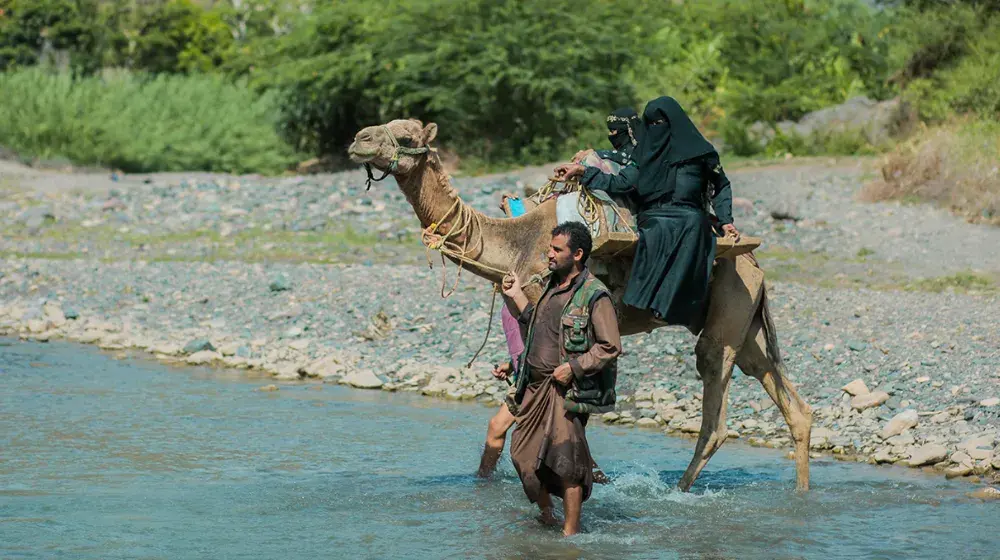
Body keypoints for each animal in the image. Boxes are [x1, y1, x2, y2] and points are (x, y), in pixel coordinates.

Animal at [346, 117, 812, 490]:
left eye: (406, 134)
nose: (358, 139)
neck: (514, 244)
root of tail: (754, 264)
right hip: (747, 325)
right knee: (793, 404)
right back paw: (801, 496)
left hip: (728, 311)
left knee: (715, 408)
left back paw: (679, 491)